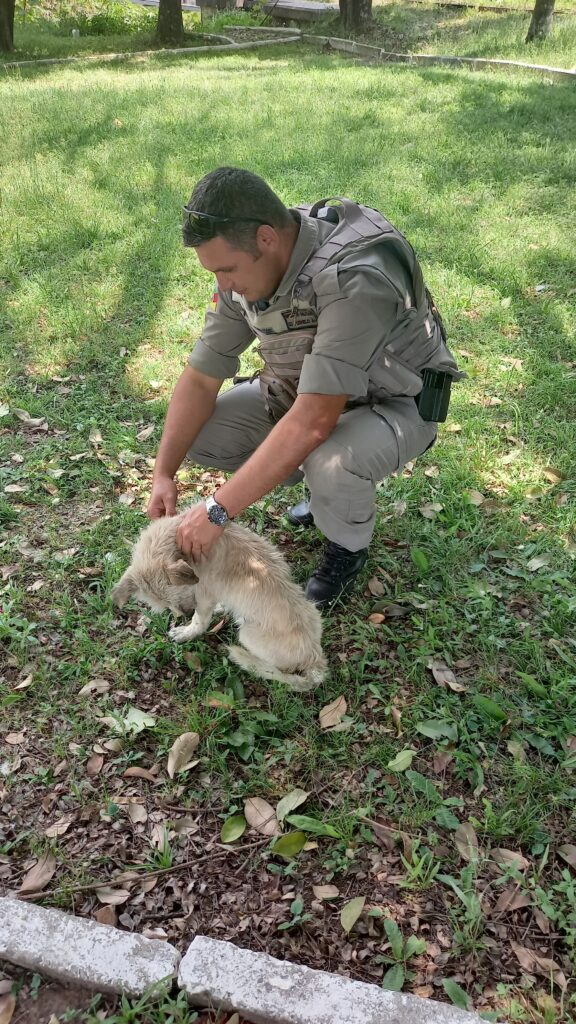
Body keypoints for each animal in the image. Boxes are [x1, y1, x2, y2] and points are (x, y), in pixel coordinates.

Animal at [111, 507, 325, 692]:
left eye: (177, 593)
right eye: (165, 604)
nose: (184, 613)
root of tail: (315, 657)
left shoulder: (204, 595)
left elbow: (199, 621)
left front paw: (186, 632)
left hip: (247, 634)